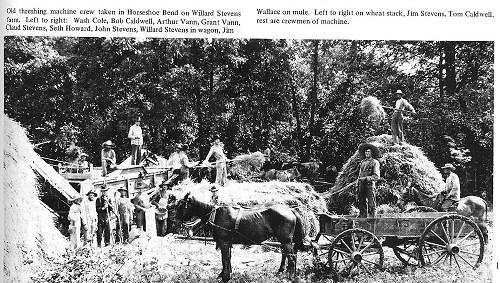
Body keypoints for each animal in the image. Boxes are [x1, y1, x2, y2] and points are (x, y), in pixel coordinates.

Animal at [176, 193, 308, 283]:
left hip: (285, 240)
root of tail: (290, 210)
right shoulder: (228, 243)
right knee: (287, 254)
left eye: (181, 205)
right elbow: (228, 259)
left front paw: (225, 277)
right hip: (284, 240)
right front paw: (225, 274)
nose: (176, 219)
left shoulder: (224, 242)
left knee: (291, 258)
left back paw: (290, 276)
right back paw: (282, 272)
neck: (216, 215)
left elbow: (224, 259)